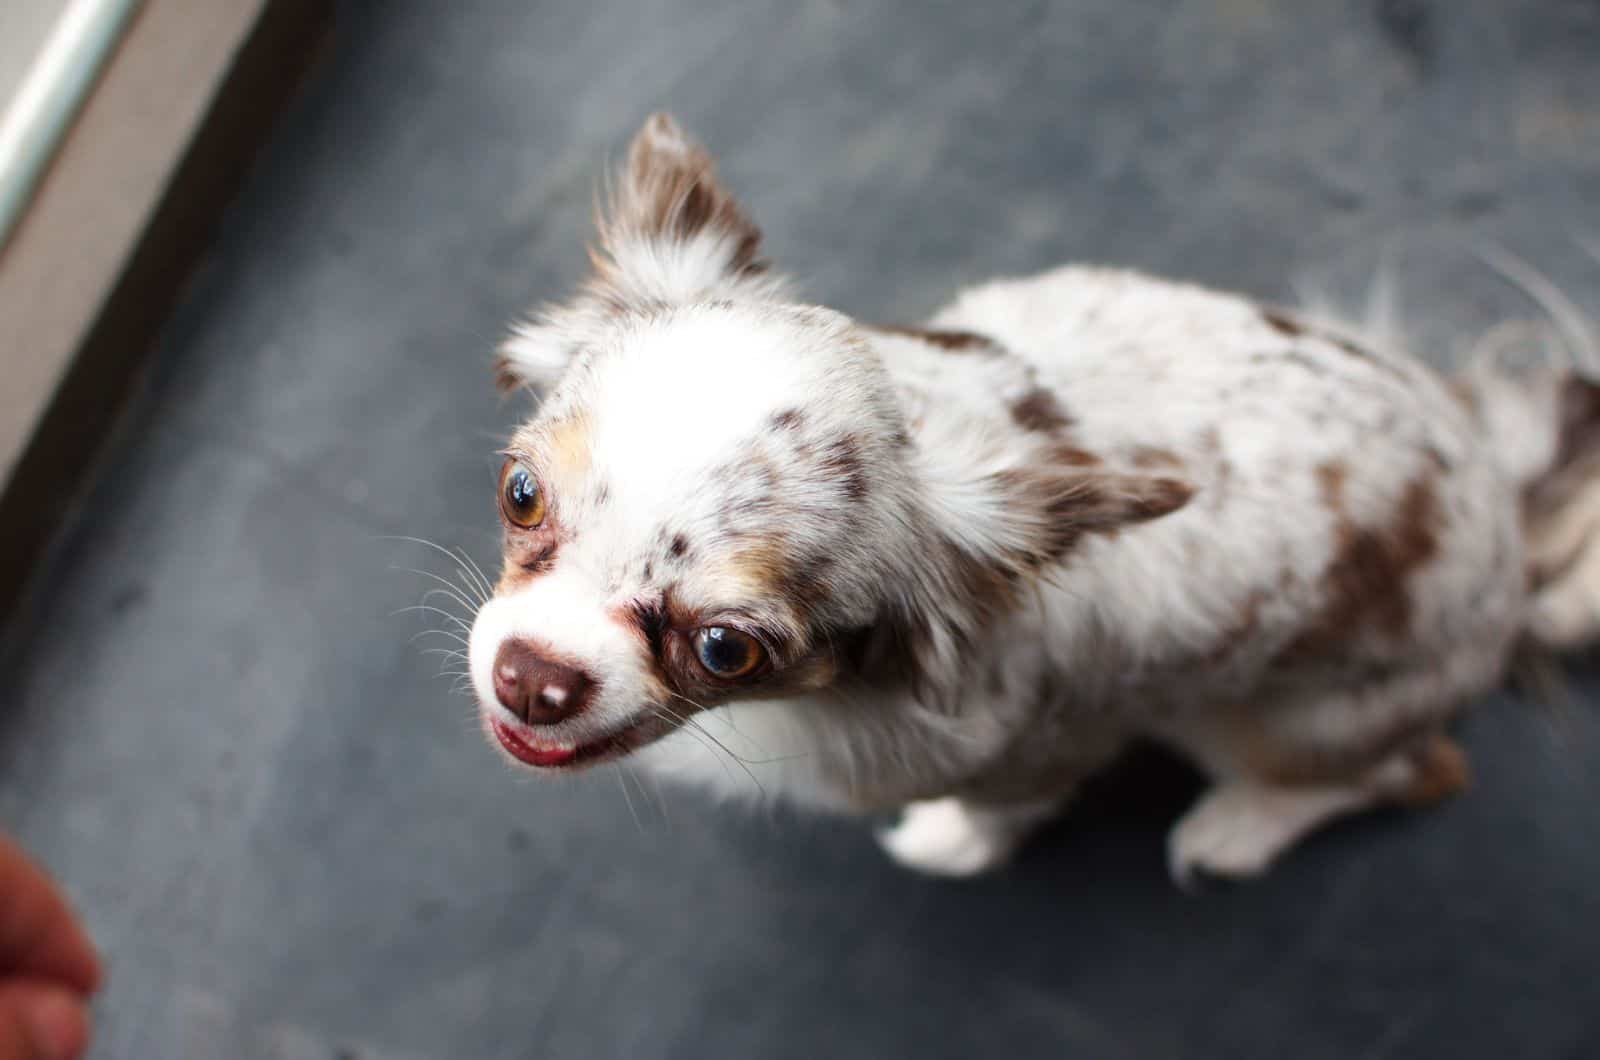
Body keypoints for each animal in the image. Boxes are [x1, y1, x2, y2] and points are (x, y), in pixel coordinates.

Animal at [467, 112, 1600, 883]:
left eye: (727, 650)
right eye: (519, 494)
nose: (533, 677)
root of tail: (1505, 505)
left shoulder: (1046, 750)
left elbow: (1001, 813)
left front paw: (951, 842)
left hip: (1271, 718)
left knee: (1412, 771)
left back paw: (1239, 827)